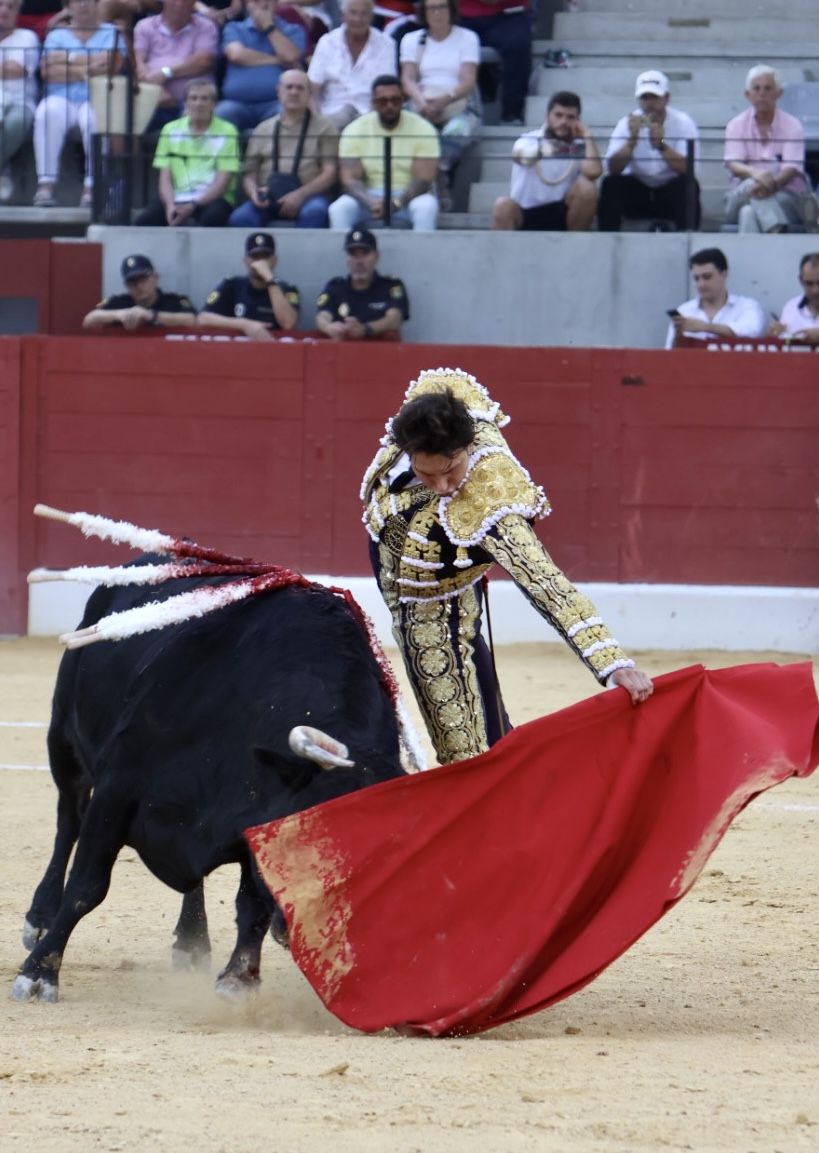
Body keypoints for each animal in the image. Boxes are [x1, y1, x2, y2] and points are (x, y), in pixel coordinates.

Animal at [12, 574, 408, 1000]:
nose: (305, 931)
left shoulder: (251, 823)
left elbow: (251, 906)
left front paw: (238, 978)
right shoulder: (116, 789)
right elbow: (86, 886)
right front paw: (38, 972)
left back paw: (191, 939)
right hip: (63, 741)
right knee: (68, 820)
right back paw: (40, 917)